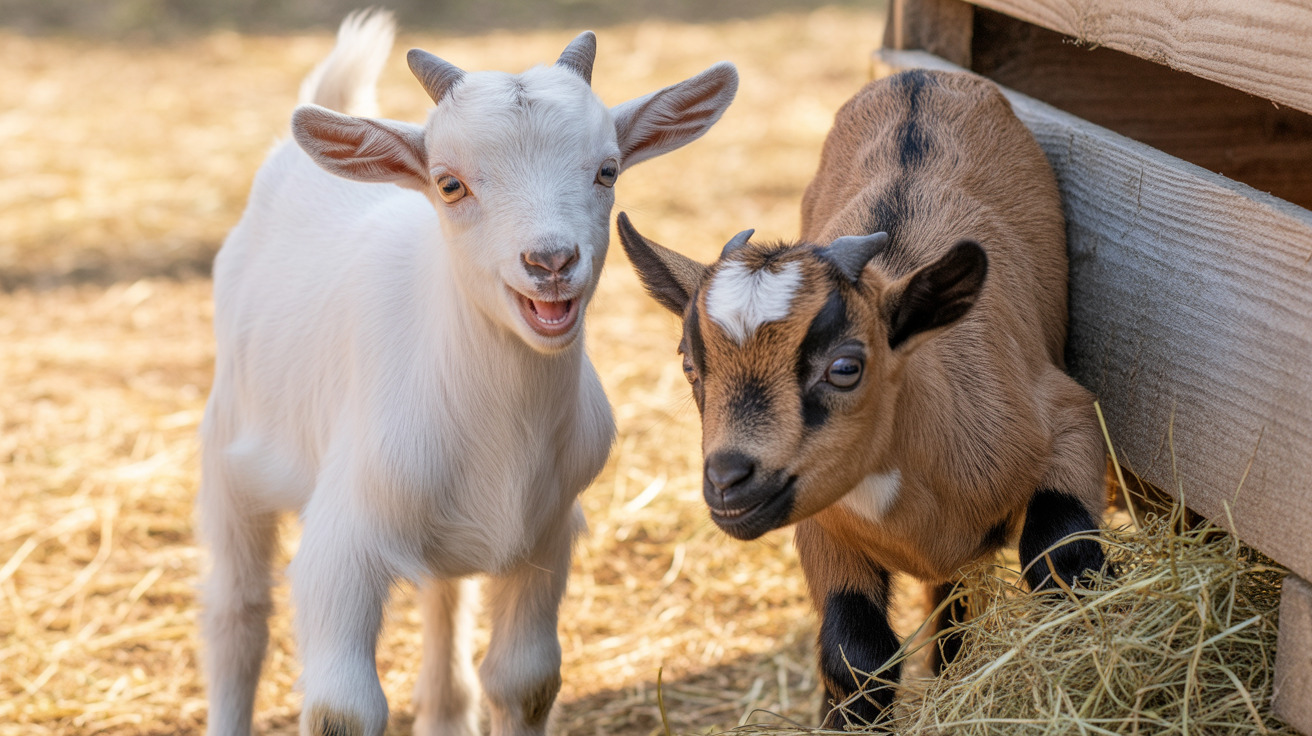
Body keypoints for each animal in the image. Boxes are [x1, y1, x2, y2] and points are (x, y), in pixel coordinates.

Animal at [197, 11, 738, 736]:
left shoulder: (545, 534)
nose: (550, 261)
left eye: (607, 170)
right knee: (238, 611)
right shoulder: (342, 543)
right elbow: (343, 710)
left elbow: (525, 680)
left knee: (443, 596)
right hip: (230, 451)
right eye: (450, 183)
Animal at [616, 69, 1106, 727]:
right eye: (691, 364)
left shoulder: (1069, 420)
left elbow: (1064, 567)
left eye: (846, 368)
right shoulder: (822, 522)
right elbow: (856, 655)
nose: (726, 481)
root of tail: (918, 76)